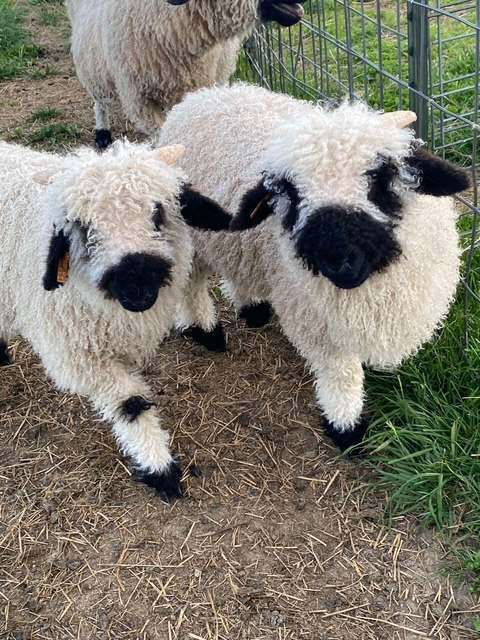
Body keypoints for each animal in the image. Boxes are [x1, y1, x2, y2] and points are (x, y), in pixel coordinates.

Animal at [0, 139, 232, 501]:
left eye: (158, 213)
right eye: (85, 230)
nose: (137, 286)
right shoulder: (80, 358)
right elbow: (130, 404)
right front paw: (159, 466)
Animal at [157, 83, 470, 451]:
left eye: (381, 179)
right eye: (291, 195)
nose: (338, 259)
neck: (371, 291)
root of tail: (204, 95)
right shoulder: (316, 327)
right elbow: (342, 376)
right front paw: (346, 427)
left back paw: (253, 308)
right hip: (188, 237)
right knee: (190, 283)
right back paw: (205, 330)